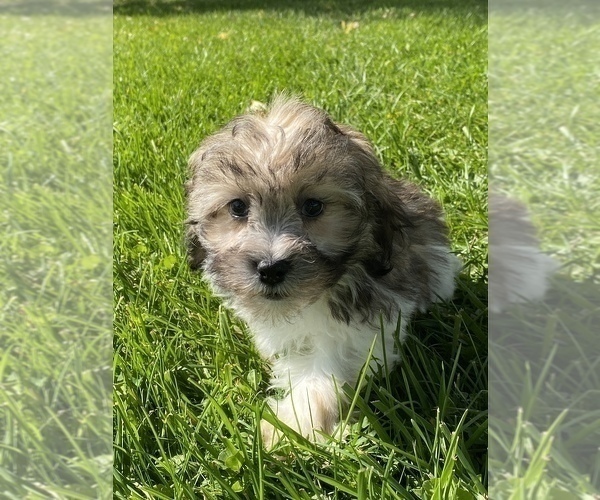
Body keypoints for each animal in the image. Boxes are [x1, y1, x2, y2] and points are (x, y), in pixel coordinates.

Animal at [186, 97, 460, 446]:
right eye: (238, 207)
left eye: (313, 207)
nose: (271, 268)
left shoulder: (362, 325)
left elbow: (325, 369)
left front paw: (290, 427)